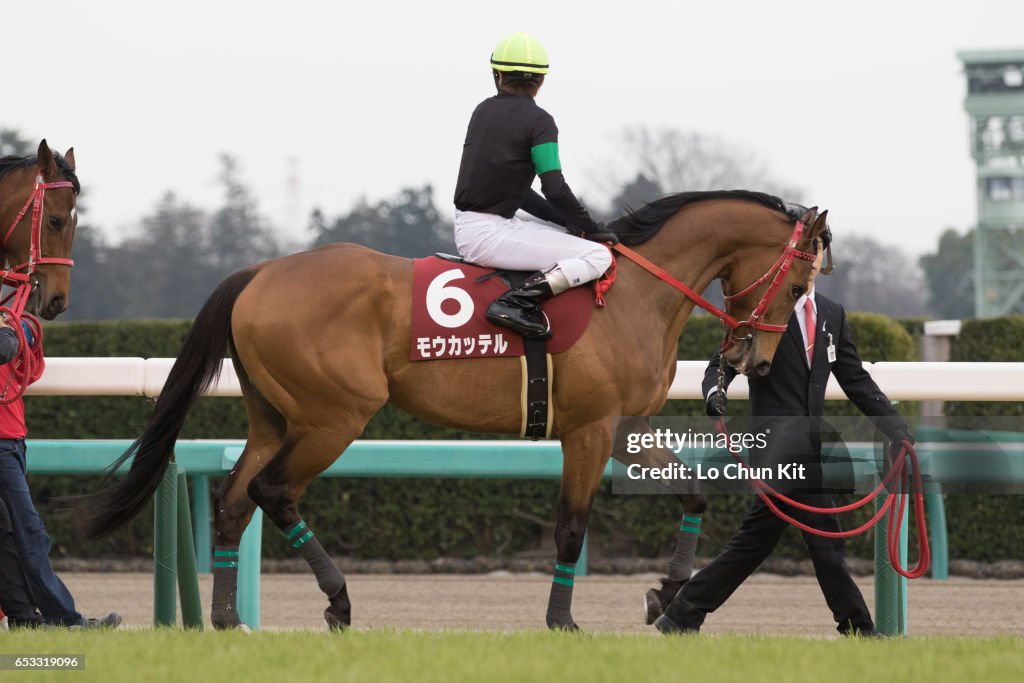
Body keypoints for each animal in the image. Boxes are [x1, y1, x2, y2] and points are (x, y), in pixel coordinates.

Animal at [75, 188, 827, 630]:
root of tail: (259, 273)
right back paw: (338, 599)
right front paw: (563, 622)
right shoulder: (587, 431)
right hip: (334, 416)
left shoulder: (625, 426)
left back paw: (230, 621)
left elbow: (693, 491)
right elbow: (570, 529)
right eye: (798, 282)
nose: (755, 361)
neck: (635, 292)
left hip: (275, 417)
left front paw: (667, 591)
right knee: (273, 491)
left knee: (235, 500)